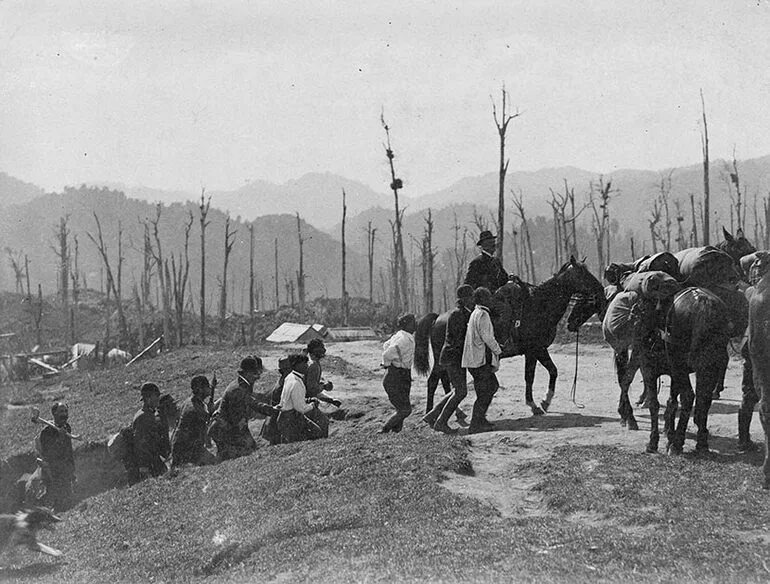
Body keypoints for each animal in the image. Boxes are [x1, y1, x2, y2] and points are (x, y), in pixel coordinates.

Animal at [414, 256, 608, 416]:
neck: (538, 306)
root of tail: (438, 317)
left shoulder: (539, 350)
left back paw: (456, 412)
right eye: (582, 274)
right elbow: (530, 376)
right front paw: (534, 405)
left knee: (444, 381)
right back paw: (431, 411)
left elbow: (553, 371)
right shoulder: (534, 350)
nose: (600, 289)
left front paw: (545, 401)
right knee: (433, 381)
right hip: (442, 359)